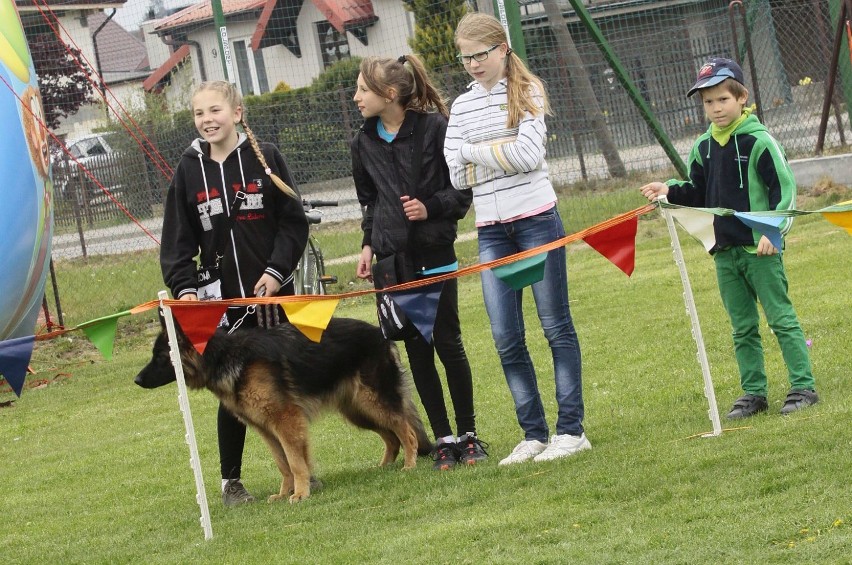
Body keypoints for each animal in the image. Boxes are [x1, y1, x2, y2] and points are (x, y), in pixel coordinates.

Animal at [140, 312, 436, 502]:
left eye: (161, 357)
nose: (137, 380)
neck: (225, 357)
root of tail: (381, 334)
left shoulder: (286, 421)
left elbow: (295, 461)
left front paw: (301, 493)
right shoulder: (266, 429)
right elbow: (282, 463)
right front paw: (285, 493)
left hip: (373, 402)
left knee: (406, 431)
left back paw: (409, 464)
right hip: (358, 412)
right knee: (391, 437)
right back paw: (384, 467)